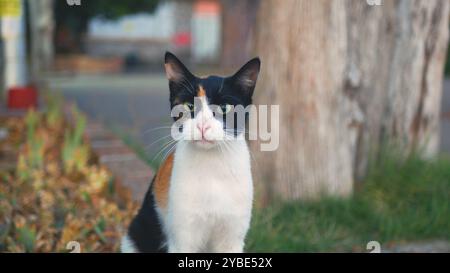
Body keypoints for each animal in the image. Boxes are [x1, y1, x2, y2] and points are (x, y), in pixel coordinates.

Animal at [120, 51, 260, 253]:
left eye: (224, 108)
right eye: (189, 106)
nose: (203, 125)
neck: (212, 169)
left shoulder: (231, 238)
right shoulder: (182, 239)